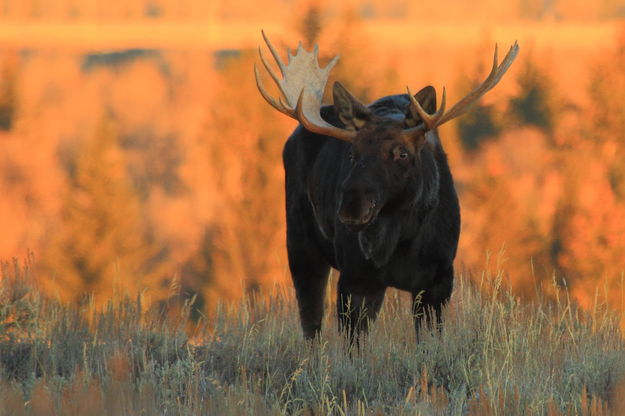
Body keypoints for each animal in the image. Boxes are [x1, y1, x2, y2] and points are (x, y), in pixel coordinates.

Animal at [254, 30, 516, 340]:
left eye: (402, 154)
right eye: (352, 153)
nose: (353, 208)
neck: (399, 241)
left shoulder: (439, 278)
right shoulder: (355, 277)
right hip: (299, 243)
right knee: (311, 323)